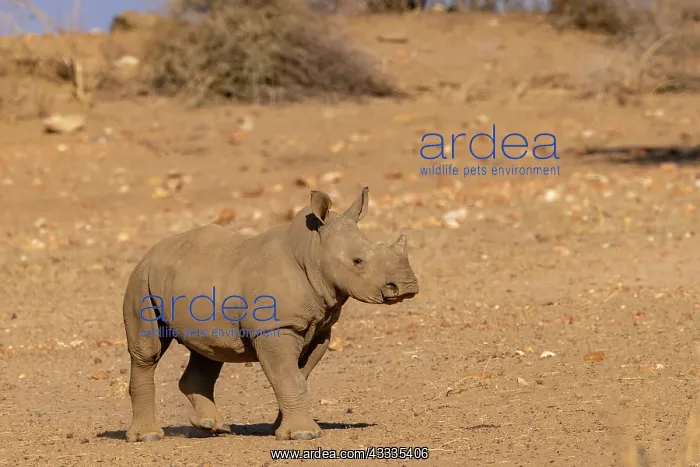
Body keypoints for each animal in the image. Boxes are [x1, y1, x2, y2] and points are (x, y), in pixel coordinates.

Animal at [122, 187, 420, 442]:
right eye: (357, 261)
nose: (407, 287)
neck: (312, 252)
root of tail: (151, 251)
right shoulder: (275, 327)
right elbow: (289, 378)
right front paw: (303, 435)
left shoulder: (319, 329)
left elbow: (298, 376)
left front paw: (281, 429)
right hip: (141, 279)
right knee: (147, 353)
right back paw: (149, 437)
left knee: (210, 350)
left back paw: (212, 427)